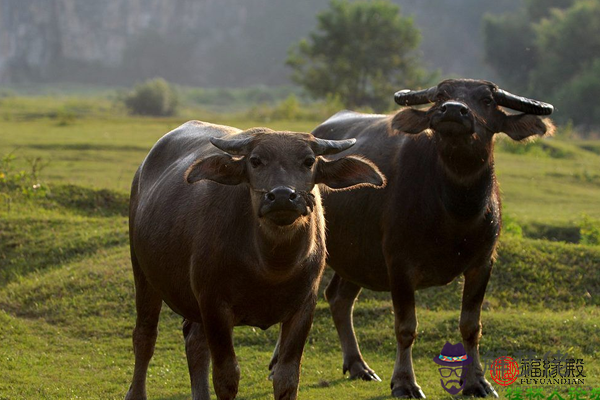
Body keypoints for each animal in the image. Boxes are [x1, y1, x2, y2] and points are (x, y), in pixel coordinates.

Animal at [125, 121, 384, 400]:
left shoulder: (304, 307)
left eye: (308, 161)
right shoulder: (214, 304)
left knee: (194, 342)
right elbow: (227, 377)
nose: (282, 196)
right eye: (256, 160)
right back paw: (136, 391)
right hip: (142, 272)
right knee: (145, 336)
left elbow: (287, 377)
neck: (271, 266)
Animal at [312, 78, 556, 396]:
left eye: (487, 100)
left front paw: (476, 381)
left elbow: (471, 325)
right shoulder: (399, 264)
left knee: (339, 298)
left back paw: (358, 366)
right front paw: (405, 382)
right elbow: (406, 327)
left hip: (358, 258)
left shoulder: (483, 263)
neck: (456, 211)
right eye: (441, 96)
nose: (452, 110)